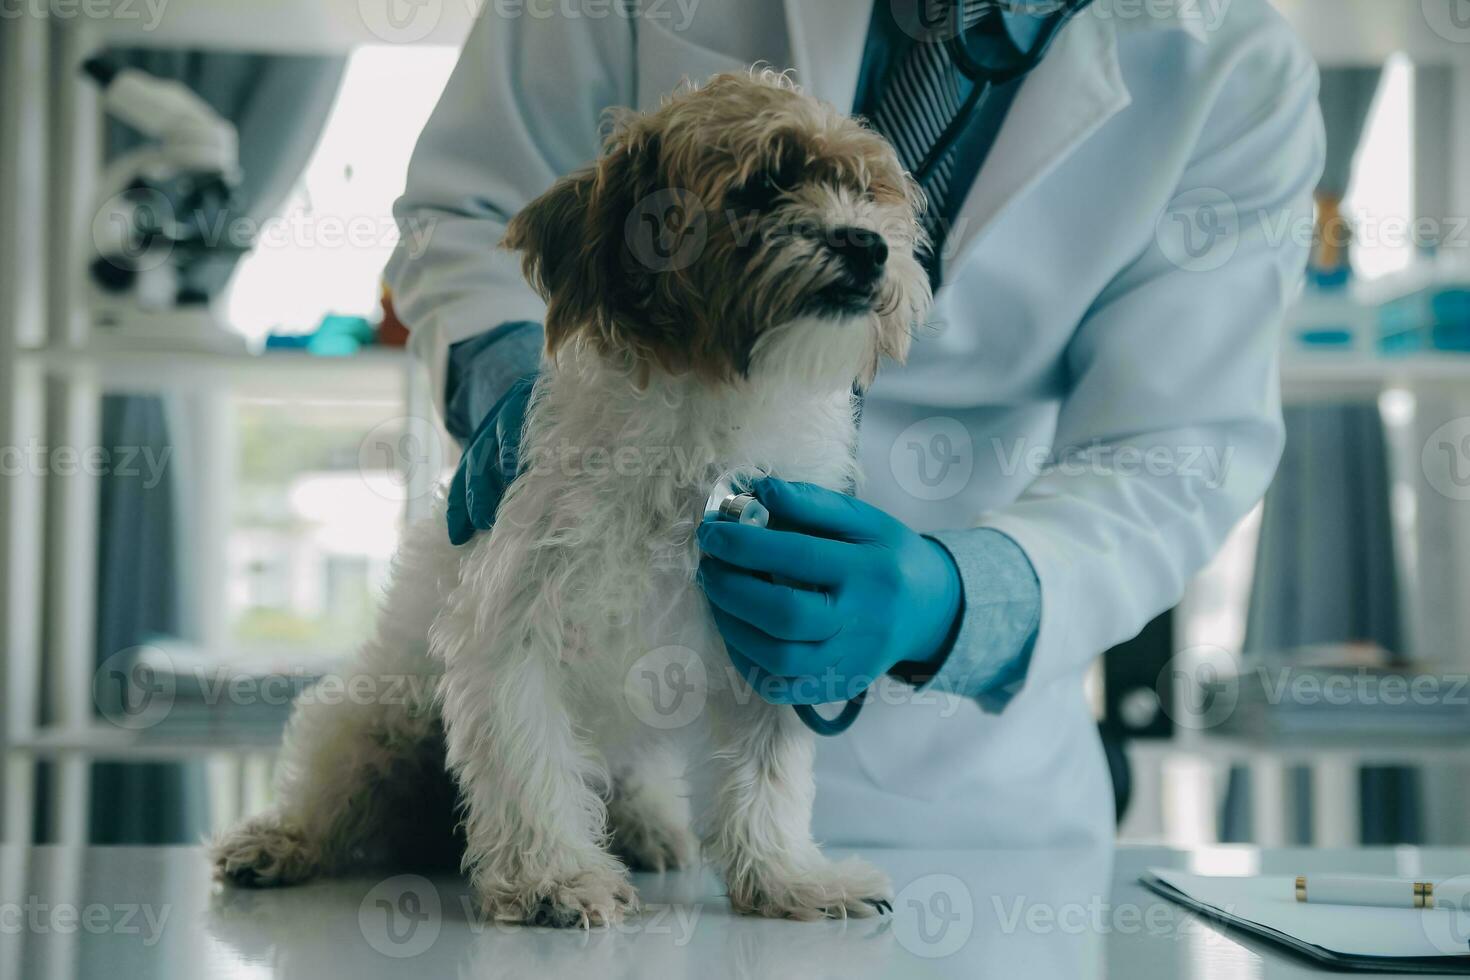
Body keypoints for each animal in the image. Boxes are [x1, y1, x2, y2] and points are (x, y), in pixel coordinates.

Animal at [213, 70, 929, 928]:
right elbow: (530, 761)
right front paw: (553, 878)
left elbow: (769, 779)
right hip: (372, 717)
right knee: (332, 785)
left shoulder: (772, 629)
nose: (868, 243)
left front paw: (790, 879)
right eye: (761, 186)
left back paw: (648, 827)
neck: (710, 420)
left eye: (865, 189)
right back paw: (278, 841)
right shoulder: (515, 627)